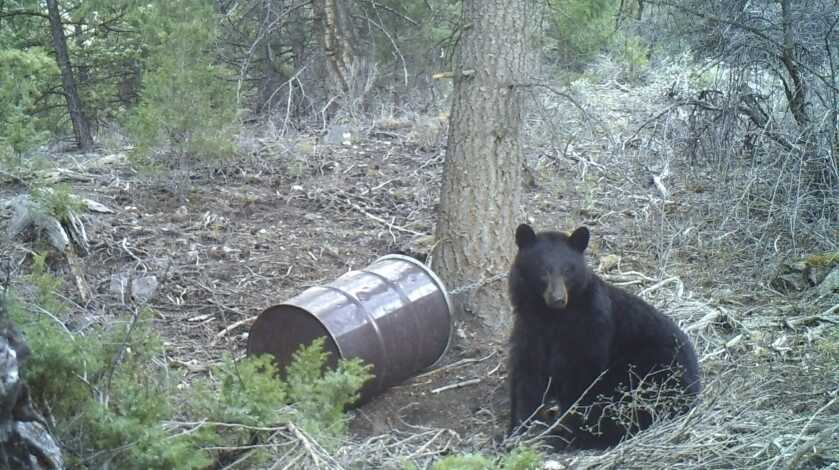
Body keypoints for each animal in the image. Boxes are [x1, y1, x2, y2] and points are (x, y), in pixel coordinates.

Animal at [507, 224, 700, 450]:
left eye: (568, 270)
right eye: (543, 270)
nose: (558, 299)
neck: (551, 317)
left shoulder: (591, 328)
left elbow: (580, 379)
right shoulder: (529, 329)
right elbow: (527, 378)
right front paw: (517, 432)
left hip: (646, 372)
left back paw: (566, 437)